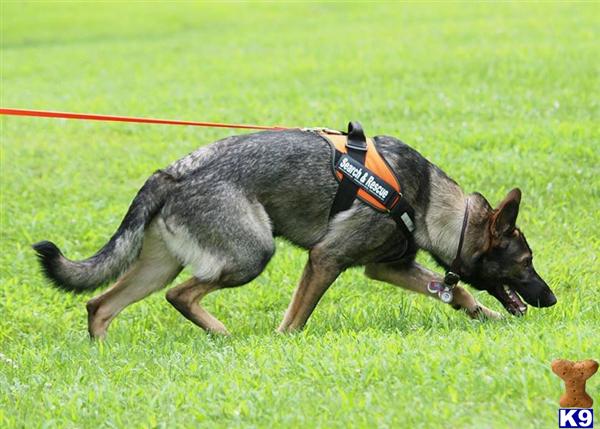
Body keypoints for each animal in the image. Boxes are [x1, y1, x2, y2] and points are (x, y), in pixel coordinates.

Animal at [32, 128, 556, 338]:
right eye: (526, 263)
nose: (552, 300)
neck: (424, 199)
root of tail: (174, 172)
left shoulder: (385, 267)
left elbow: (459, 293)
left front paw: (487, 316)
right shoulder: (326, 259)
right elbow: (295, 320)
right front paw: (284, 342)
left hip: (159, 266)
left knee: (100, 305)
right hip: (250, 255)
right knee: (180, 295)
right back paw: (223, 335)